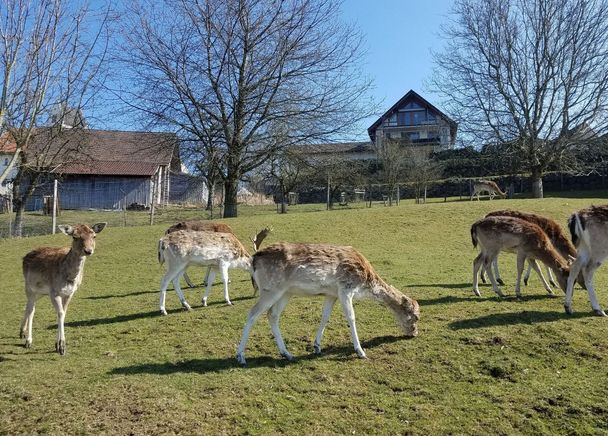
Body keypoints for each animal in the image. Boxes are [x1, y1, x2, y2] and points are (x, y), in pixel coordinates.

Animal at [19, 223, 107, 356]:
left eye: (94, 236)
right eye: (75, 237)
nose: (88, 251)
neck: (69, 278)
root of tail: (25, 256)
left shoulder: (69, 293)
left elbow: (63, 313)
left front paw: (57, 345)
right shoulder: (54, 292)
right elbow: (60, 313)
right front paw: (61, 347)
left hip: (41, 292)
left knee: (30, 307)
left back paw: (22, 332)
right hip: (29, 287)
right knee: (31, 309)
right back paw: (28, 340)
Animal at [235, 242, 420, 364]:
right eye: (415, 316)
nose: (414, 333)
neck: (365, 283)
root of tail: (254, 259)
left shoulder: (332, 294)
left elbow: (325, 317)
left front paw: (317, 346)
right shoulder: (345, 289)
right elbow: (351, 317)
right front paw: (360, 351)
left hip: (286, 292)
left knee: (272, 315)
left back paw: (287, 353)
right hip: (270, 289)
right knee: (252, 313)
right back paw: (241, 356)